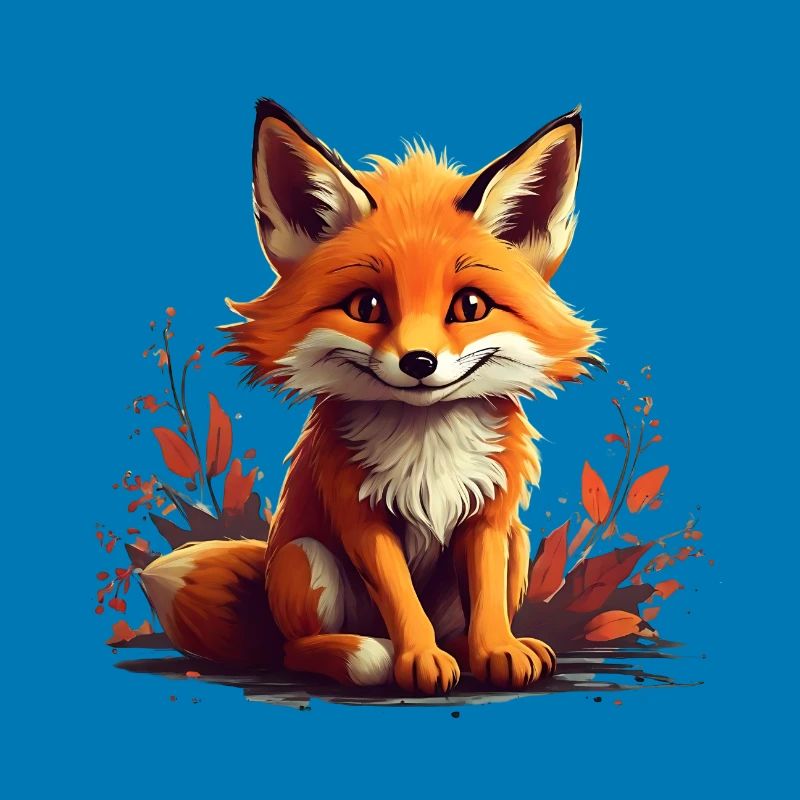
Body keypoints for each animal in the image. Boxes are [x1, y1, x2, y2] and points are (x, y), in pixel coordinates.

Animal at [139, 99, 600, 695]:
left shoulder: (489, 516)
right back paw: (363, 654)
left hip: (518, 543)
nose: (419, 363)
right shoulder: (359, 516)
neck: (428, 444)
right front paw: (417, 659)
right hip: (305, 559)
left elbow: (488, 602)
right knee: (295, 651)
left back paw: (468, 650)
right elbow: (402, 601)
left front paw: (496, 650)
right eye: (367, 306)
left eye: (471, 306)